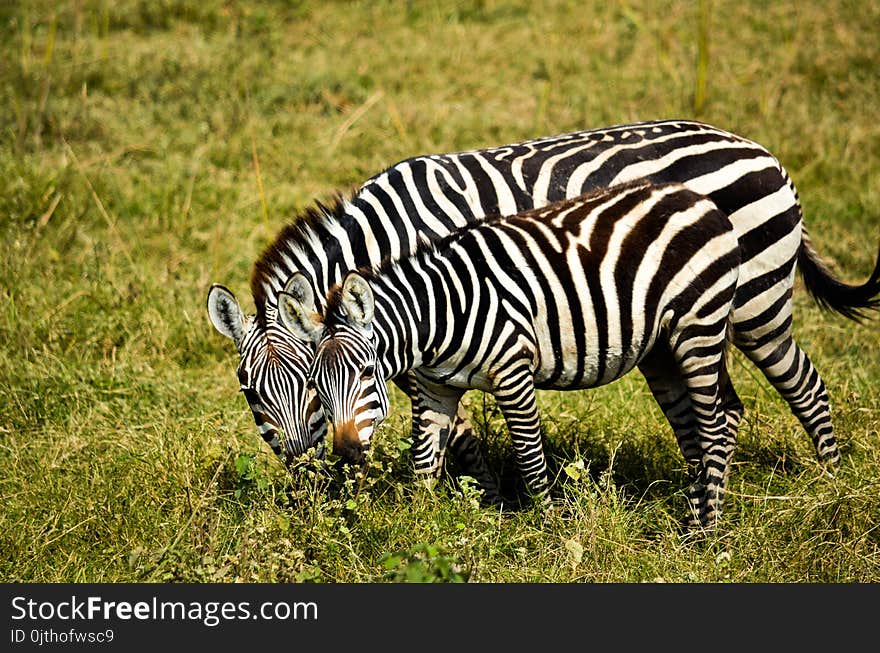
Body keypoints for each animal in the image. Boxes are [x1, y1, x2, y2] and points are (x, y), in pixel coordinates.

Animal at [208, 119, 880, 488]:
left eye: (304, 383)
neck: (391, 236)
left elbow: (455, 431)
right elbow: (449, 429)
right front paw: (477, 495)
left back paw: (829, 481)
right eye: (249, 391)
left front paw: (489, 495)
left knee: (803, 384)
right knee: (726, 407)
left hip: (754, 302)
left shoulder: (457, 316)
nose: (304, 481)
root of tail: (760, 149)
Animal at [280, 181, 744, 528]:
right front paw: (420, 531)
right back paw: (694, 514)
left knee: (714, 423)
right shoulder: (434, 389)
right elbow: (425, 463)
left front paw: (553, 531)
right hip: (662, 349)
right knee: (703, 421)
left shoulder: (513, 374)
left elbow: (530, 458)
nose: (346, 453)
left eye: (366, 372)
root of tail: (697, 198)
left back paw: (706, 530)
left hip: (698, 326)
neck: (438, 316)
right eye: (315, 385)